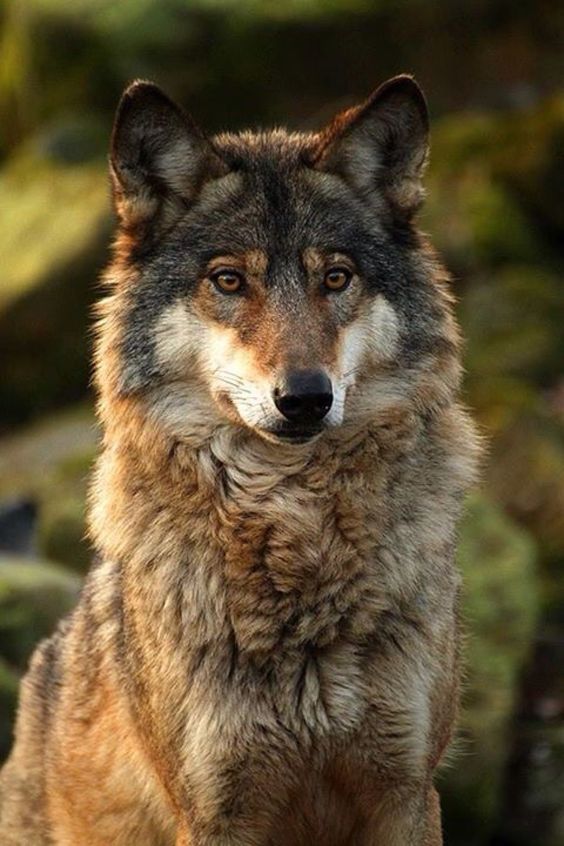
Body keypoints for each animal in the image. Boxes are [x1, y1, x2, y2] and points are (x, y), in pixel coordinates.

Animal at [0, 76, 480, 844]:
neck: (295, 524)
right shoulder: (218, 810)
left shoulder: (406, 793)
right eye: (229, 281)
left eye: (335, 278)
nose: (305, 397)